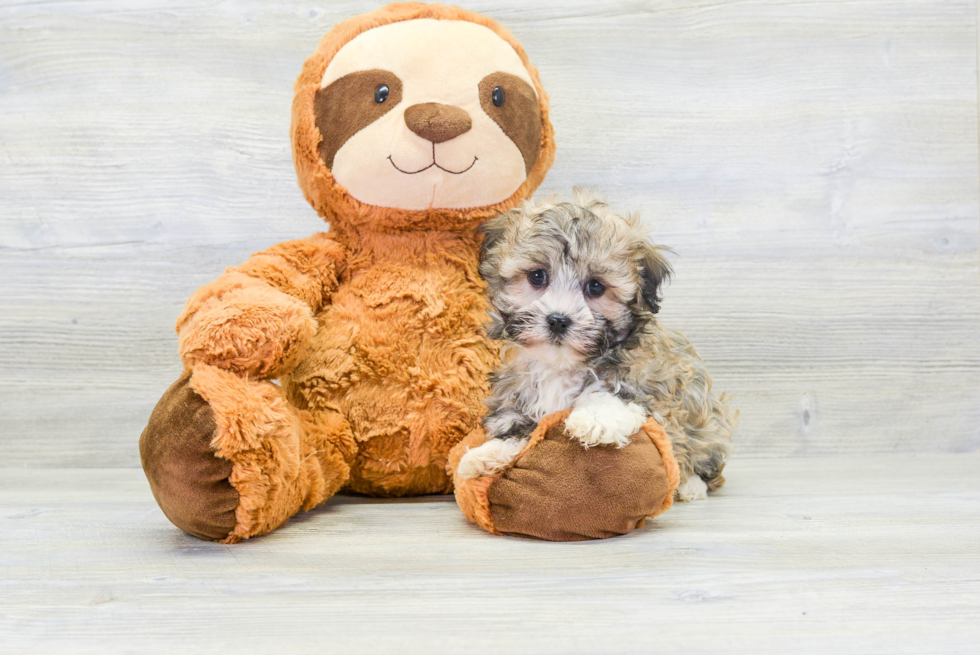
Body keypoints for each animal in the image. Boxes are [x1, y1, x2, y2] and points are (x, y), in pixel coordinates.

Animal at [458, 190, 736, 502]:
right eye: (537, 276)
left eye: (595, 287)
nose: (558, 320)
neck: (561, 365)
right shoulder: (519, 394)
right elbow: (516, 426)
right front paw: (486, 454)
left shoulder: (651, 385)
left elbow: (614, 394)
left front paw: (592, 419)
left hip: (709, 425)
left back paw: (691, 486)